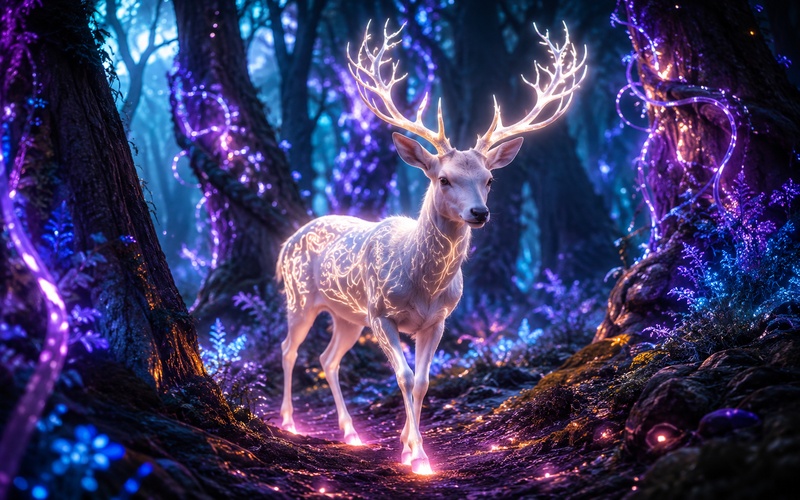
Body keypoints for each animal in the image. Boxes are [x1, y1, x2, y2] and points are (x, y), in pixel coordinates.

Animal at [276, 20, 586, 475]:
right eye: (444, 179)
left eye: (489, 179)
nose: (479, 212)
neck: (421, 283)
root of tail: (286, 242)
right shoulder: (380, 313)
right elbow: (404, 377)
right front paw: (417, 453)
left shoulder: (438, 320)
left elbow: (422, 381)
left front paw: (411, 448)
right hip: (301, 299)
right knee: (289, 349)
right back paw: (288, 423)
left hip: (347, 315)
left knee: (328, 359)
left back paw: (351, 432)